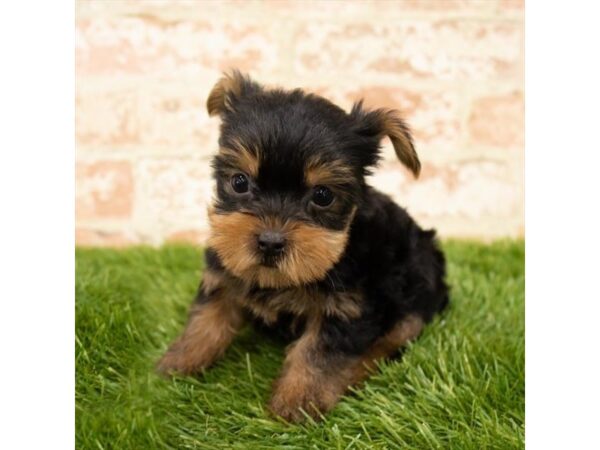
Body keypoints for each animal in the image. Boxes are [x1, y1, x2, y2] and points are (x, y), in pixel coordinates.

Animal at [157, 70, 448, 422]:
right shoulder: (225, 271)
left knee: (400, 331)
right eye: (239, 182)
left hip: (419, 281)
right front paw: (178, 361)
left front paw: (297, 403)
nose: (270, 242)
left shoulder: (348, 306)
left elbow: (317, 353)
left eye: (323, 195)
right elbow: (206, 317)